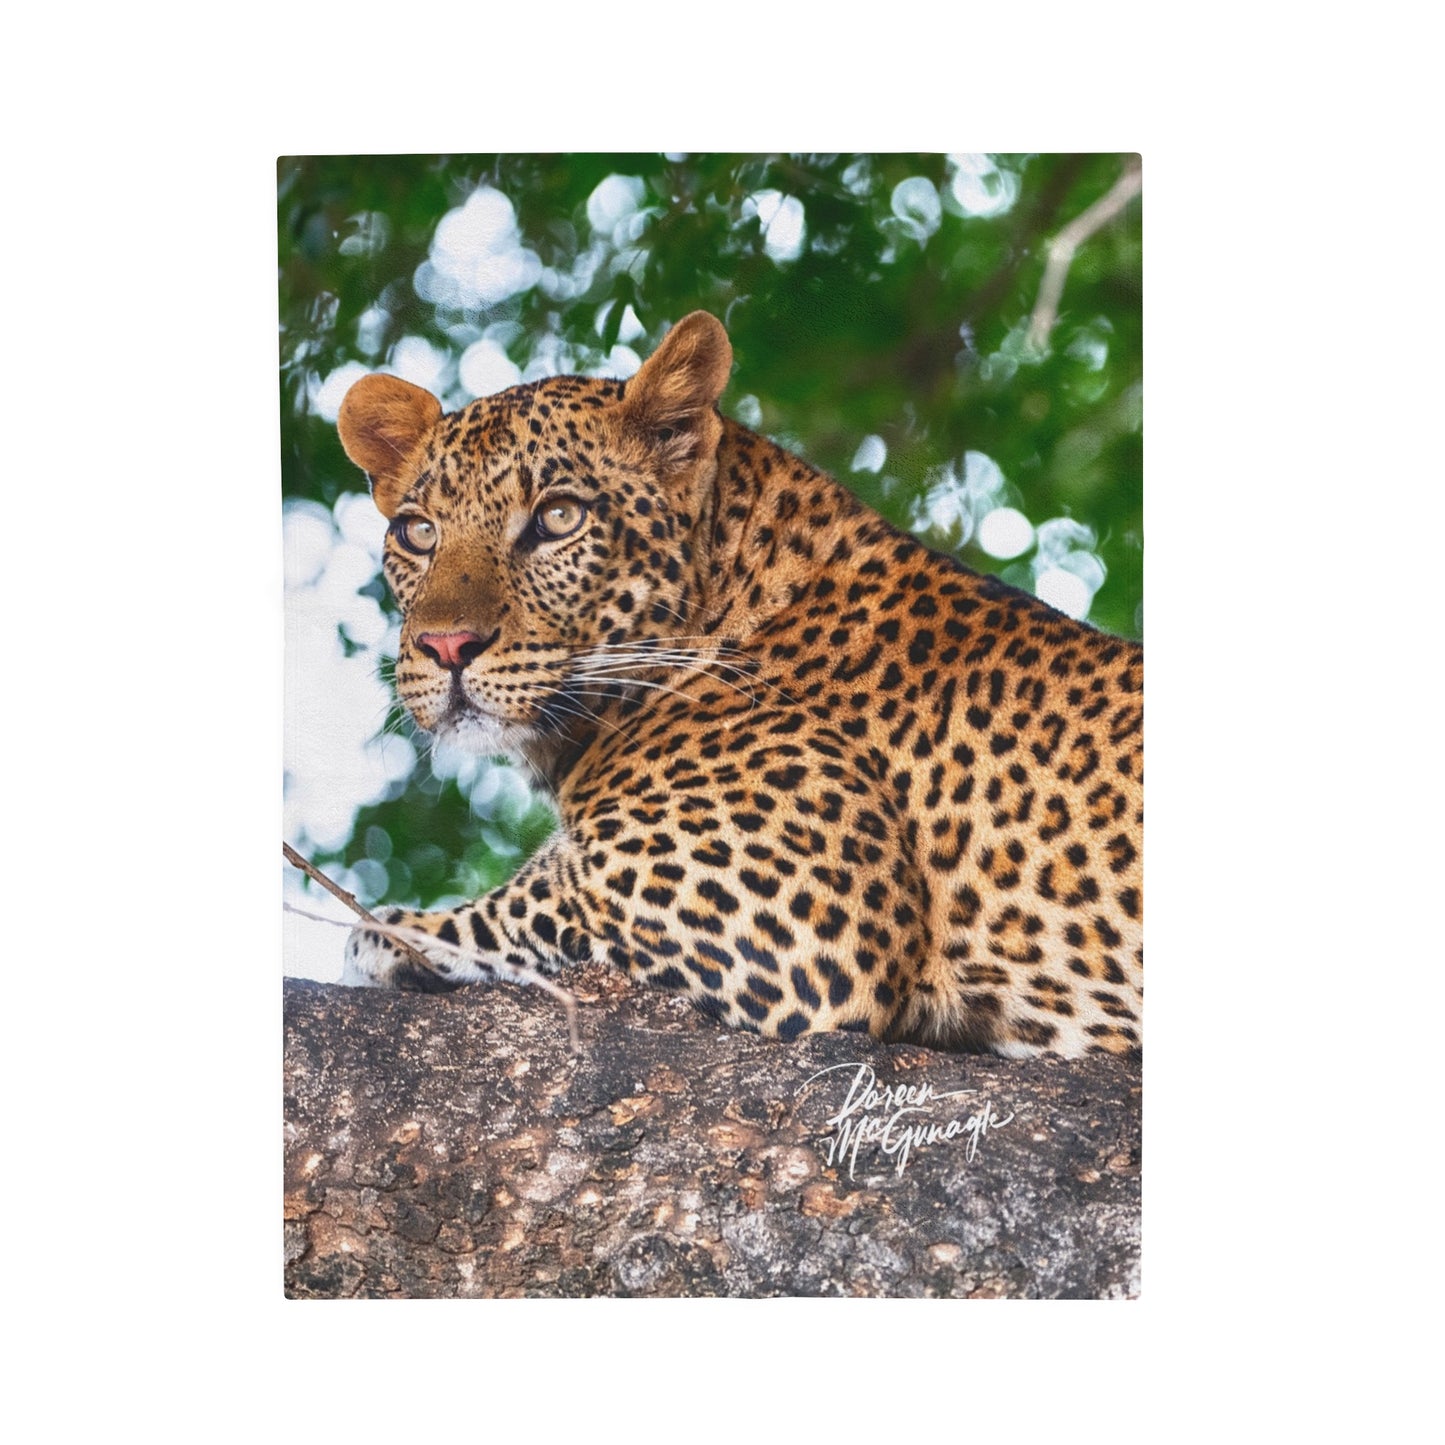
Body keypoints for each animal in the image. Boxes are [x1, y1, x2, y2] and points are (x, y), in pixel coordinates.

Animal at [334, 311, 1142, 1057]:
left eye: (558, 517)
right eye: (417, 533)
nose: (446, 646)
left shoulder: (789, 917)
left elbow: (523, 902)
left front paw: (393, 932)